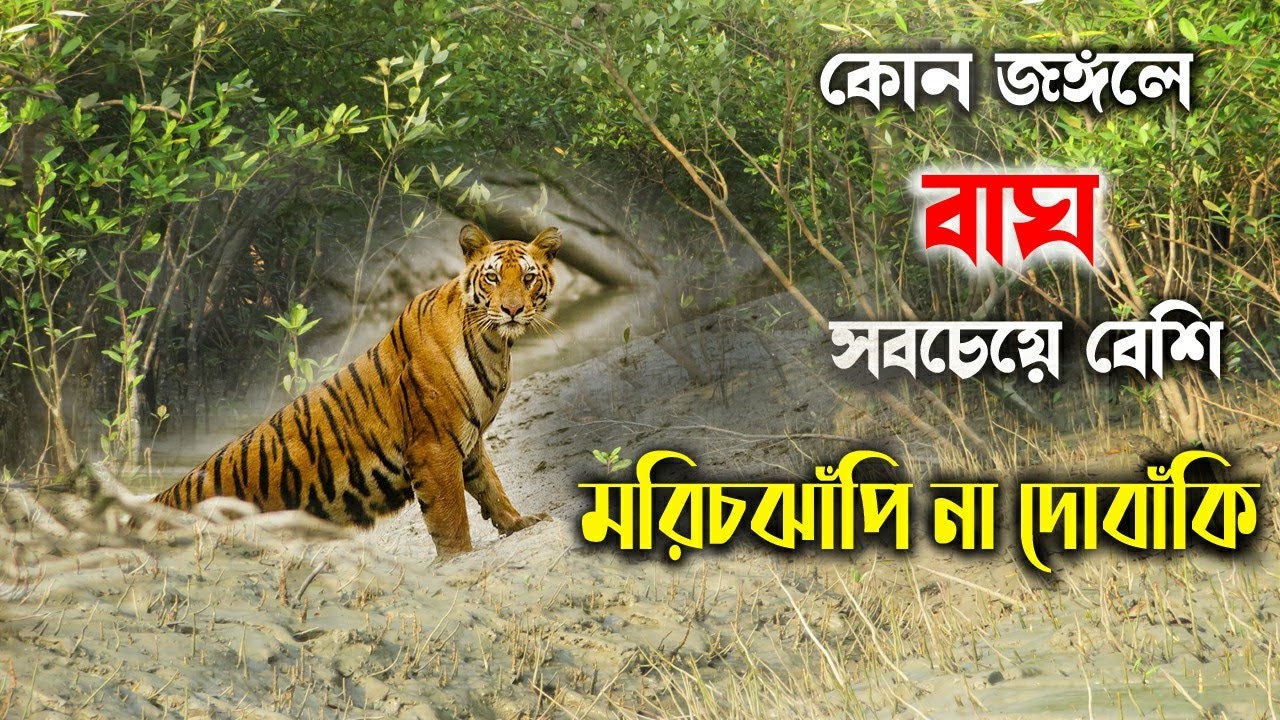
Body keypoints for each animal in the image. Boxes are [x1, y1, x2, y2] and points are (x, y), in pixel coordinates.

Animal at [153, 224, 560, 558]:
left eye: (528, 278)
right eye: (491, 277)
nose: (512, 310)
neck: (494, 345)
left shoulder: (468, 439)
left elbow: (491, 485)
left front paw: (518, 522)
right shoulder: (434, 447)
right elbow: (450, 514)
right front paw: (458, 557)